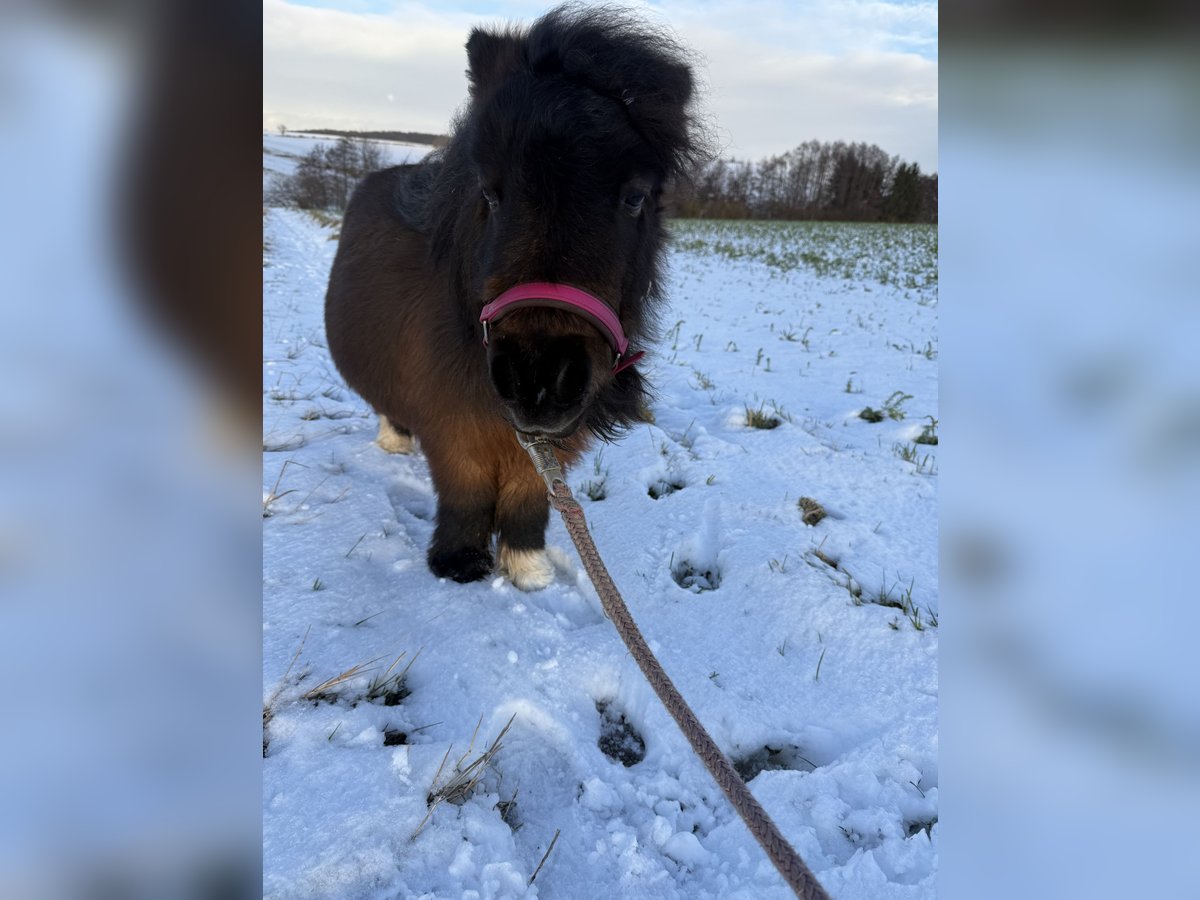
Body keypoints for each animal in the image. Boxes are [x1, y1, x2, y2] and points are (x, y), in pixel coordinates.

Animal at [324, 3, 705, 592]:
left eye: (636, 197)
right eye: (490, 191)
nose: (537, 377)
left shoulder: (550, 444)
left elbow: (529, 499)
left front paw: (528, 570)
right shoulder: (456, 432)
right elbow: (465, 493)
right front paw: (460, 564)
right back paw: (394, 442)